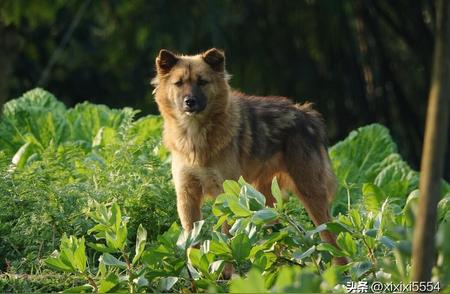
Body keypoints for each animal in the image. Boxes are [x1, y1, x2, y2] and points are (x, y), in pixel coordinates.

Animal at [153, 47, 346, 264]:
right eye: (178, 83)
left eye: (202, 82)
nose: (189, 102)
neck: (195, 138)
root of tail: (307, 113)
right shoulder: (187, 196)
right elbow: (191, 244)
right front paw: (197, 272)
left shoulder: (226, 195)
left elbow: (227, 239)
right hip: (265, 203)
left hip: (311, 193)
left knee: (332, 240)